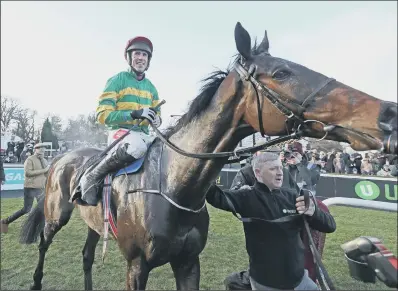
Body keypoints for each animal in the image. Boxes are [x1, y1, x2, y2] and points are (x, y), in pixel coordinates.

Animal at [20, 21, 396, 290]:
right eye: (281, 73)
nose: (388, 112)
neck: (173, 185)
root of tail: (60, 159)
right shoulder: (137, 266)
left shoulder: (188, 263)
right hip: (56, 215)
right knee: (43, 243)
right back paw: (36, 281)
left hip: (94, 223)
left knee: (86, 255)